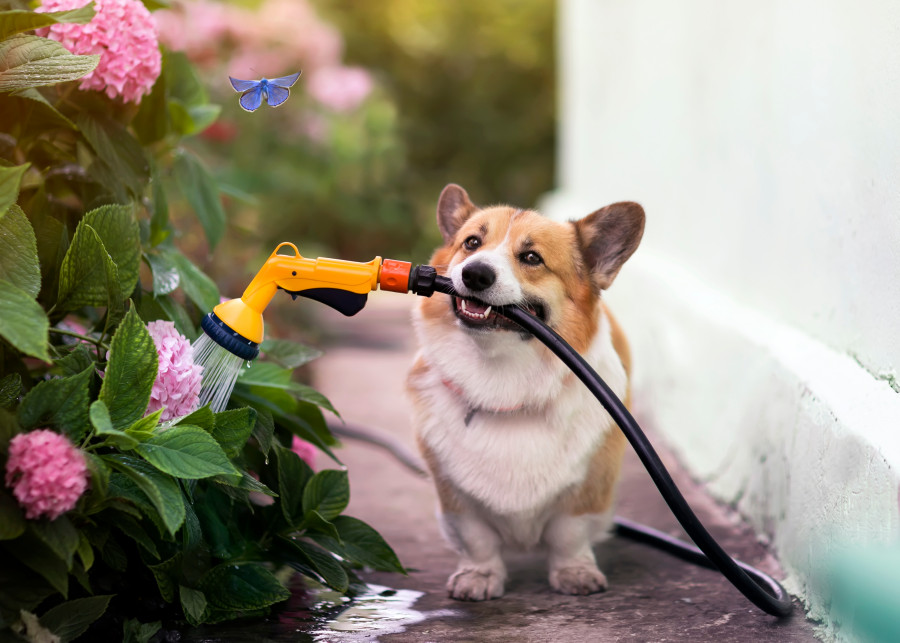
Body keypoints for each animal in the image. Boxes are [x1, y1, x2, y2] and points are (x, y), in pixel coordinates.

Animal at [408, 184, 648, 600]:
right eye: (472, 243)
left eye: (532, 257)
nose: (475, 273)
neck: (502, 381)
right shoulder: (454, 497)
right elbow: (477, 539)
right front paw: (479, 576)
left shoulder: (586, 491)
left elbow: (569, 534)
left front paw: (575, 573)